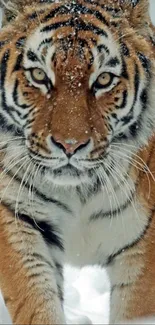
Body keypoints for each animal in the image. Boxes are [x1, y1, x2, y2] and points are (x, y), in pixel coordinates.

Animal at [0, 0, 155, 322]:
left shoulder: (144, 246)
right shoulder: (16, 216)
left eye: (104, 80)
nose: (69, 145)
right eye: (39, 75)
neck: (78, 192)